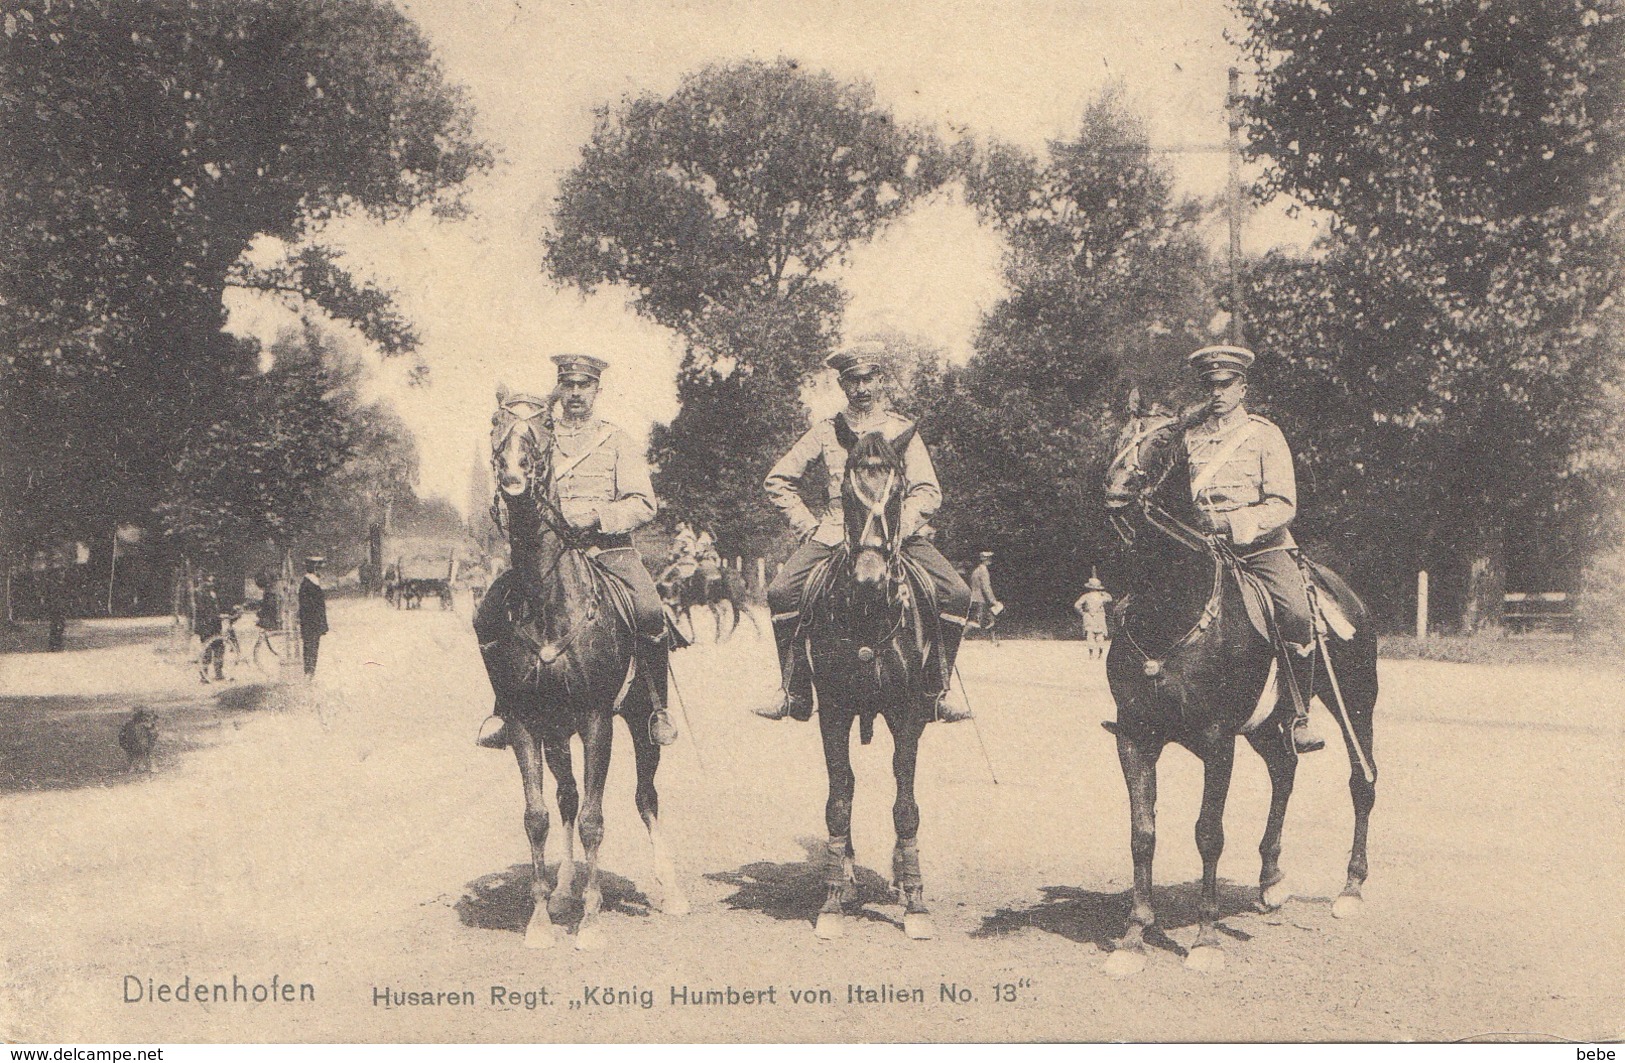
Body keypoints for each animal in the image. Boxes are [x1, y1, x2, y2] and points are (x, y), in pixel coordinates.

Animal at [474, 386, 692, 955]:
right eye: (495, 424)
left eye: (545, 427)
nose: (512, 474)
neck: (548, 601)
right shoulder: (527, 723)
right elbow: (538, 817)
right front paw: (540, 919)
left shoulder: (597, 720)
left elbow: (596, 819)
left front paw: (591, 924)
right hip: (557, 731)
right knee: (567, 799)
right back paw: (564, 889)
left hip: (639, 721)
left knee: (645, 797)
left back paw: (671, 890)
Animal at [1098, 404, 1378, 981]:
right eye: (1115, 434)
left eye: (1164, 442)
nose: (1115, 493)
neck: (1171, 606)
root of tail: (1347, 594)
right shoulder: (1134, 736)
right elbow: (1143, 832)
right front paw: (1134, 935)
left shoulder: (1216, 741)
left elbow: (1209, 833)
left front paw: (1205, 939)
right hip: (1268, 725)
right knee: (1284, 772)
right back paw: (1270, 881)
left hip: (1356, 704)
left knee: (1362, 781)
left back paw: (1351, 889)